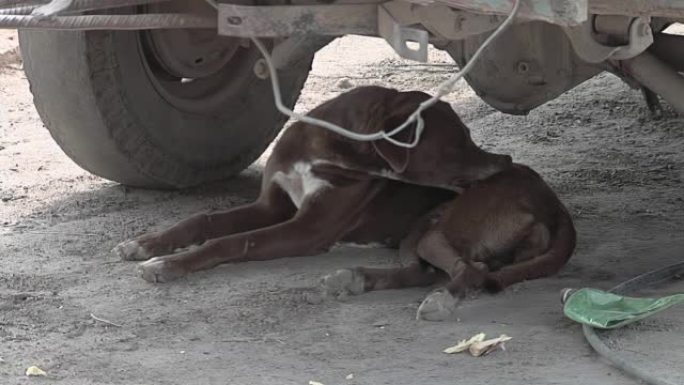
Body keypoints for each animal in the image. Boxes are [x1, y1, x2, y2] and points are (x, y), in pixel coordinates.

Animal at [112, 85, 510, 280]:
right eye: (459, 143)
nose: (506, 161)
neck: (324, 151)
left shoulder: (308, 228)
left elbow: (234, 241)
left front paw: (168, 265)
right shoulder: (270, 205)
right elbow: (203, 220)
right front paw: (146, 243)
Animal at [322, 164, 576, 320]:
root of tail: (555, 206)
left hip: (435, 234)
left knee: (468, 269)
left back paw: (441, 299)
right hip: (420, 231)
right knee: (423, 272)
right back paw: (352, 278)